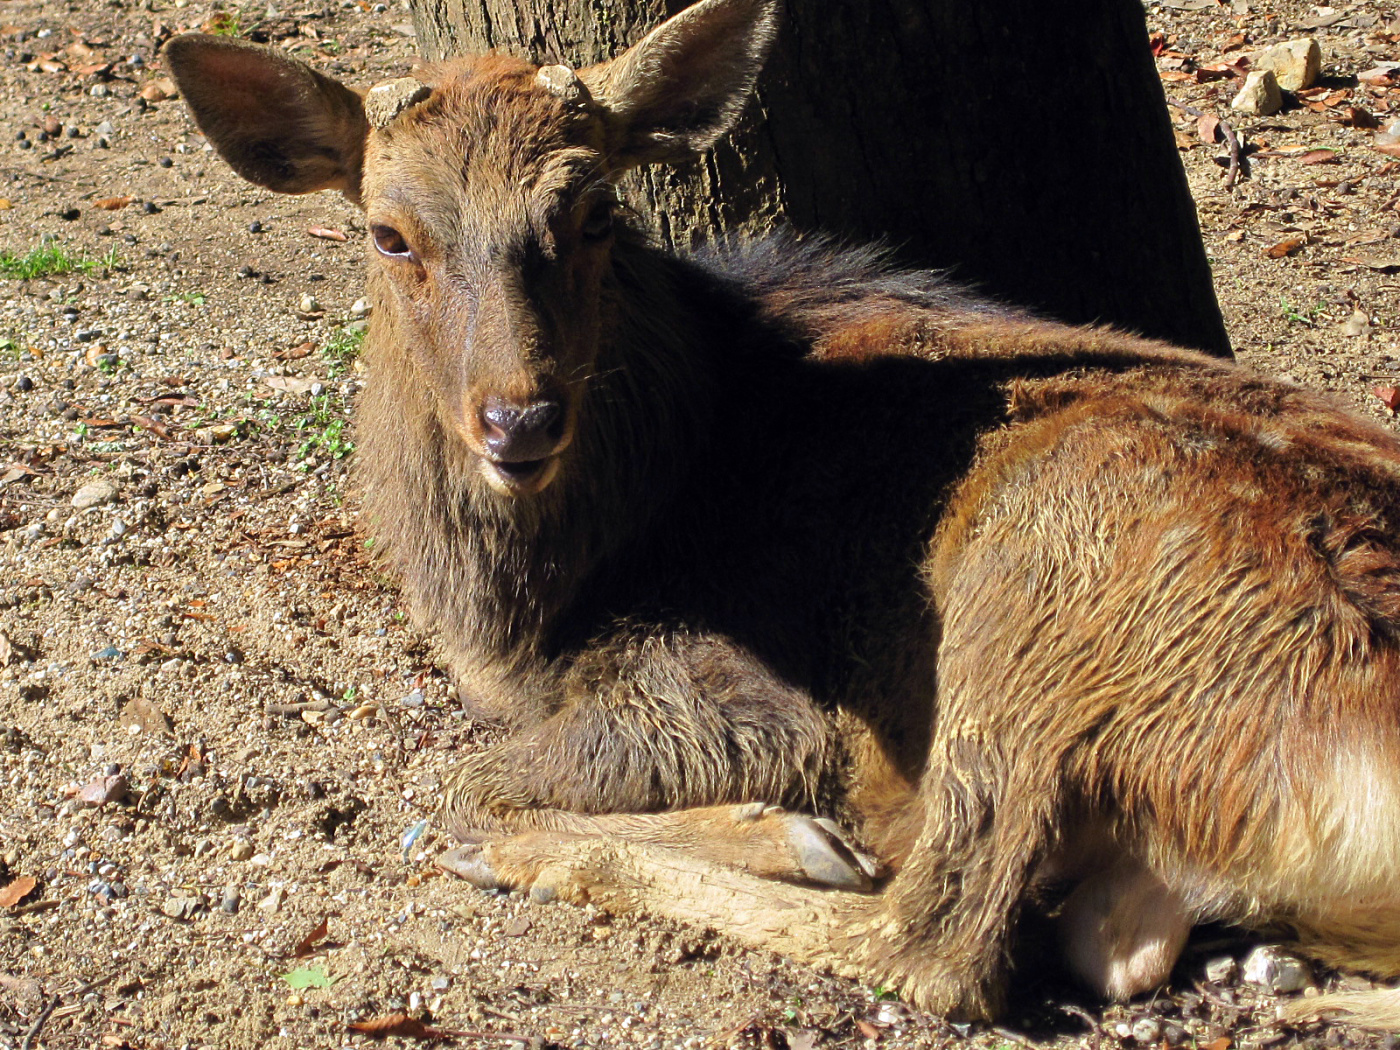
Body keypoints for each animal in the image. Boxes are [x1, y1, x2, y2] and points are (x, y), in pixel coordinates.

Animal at [166, 0, 1400, 1026]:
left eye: (595, 209)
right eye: (388, 231)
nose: (519, 420)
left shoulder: (740, 693)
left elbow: (456, 783)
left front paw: (783, 831)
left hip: (1045, 564)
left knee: (934, 943)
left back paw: (776, 848)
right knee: (1113, 938)